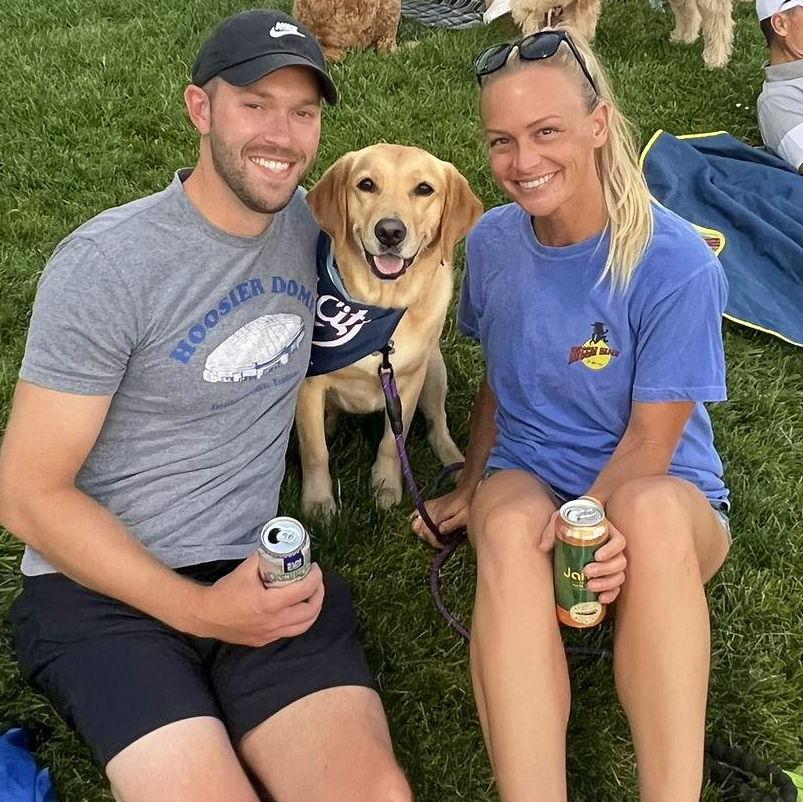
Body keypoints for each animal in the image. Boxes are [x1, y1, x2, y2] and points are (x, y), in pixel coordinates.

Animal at [296, 144, 480, 512]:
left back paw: (455, 462)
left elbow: (392, 444)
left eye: (424, 189)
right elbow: (315, 450)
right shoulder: (308, 386)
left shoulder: (406, 383)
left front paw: (385, 486)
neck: (378, 304)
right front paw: (319, 502)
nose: (391, 232)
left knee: (438, 425)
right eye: (366, 184)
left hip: (434, 370)